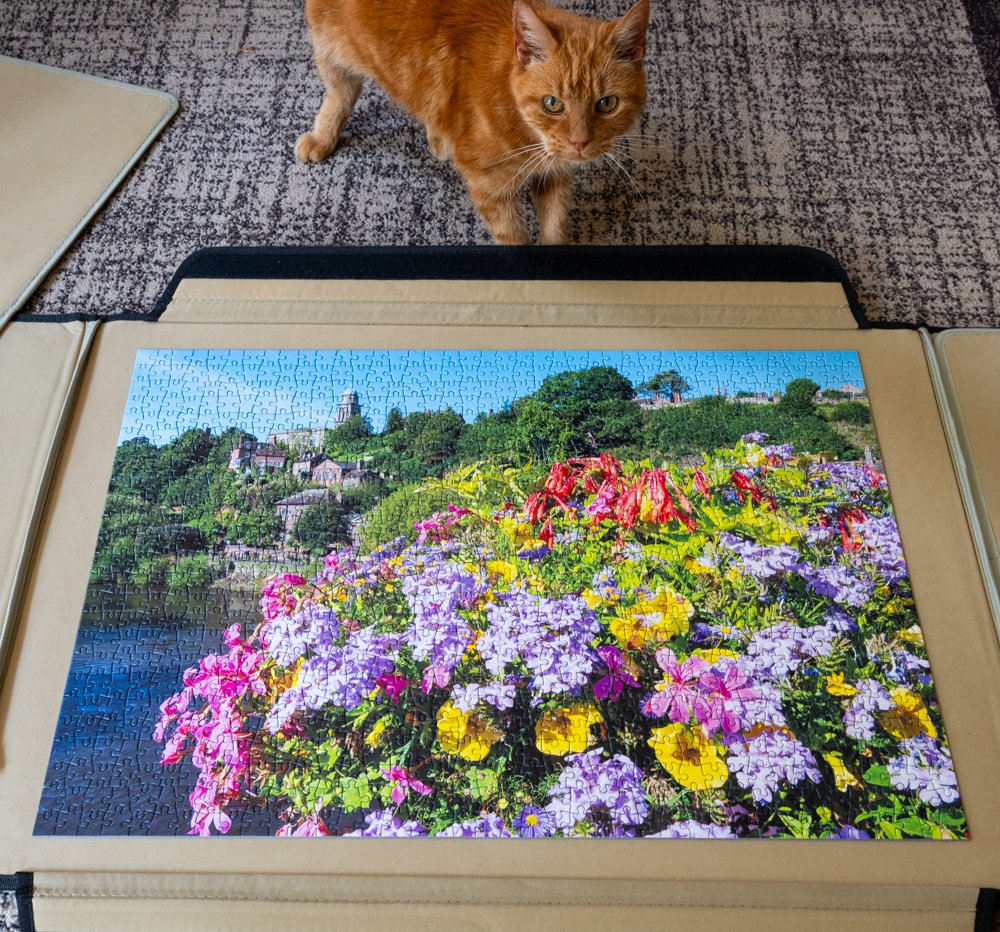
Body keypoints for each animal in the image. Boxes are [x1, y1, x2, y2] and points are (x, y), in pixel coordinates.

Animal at [292, 0, 648, 244]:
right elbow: (515, 239)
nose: (579, 142)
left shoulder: (554, 176)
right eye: (552, 104)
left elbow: (554, 227)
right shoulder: (488, 186)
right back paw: (321, 138)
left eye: (607, 104)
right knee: (340, 93)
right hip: (329, 48)